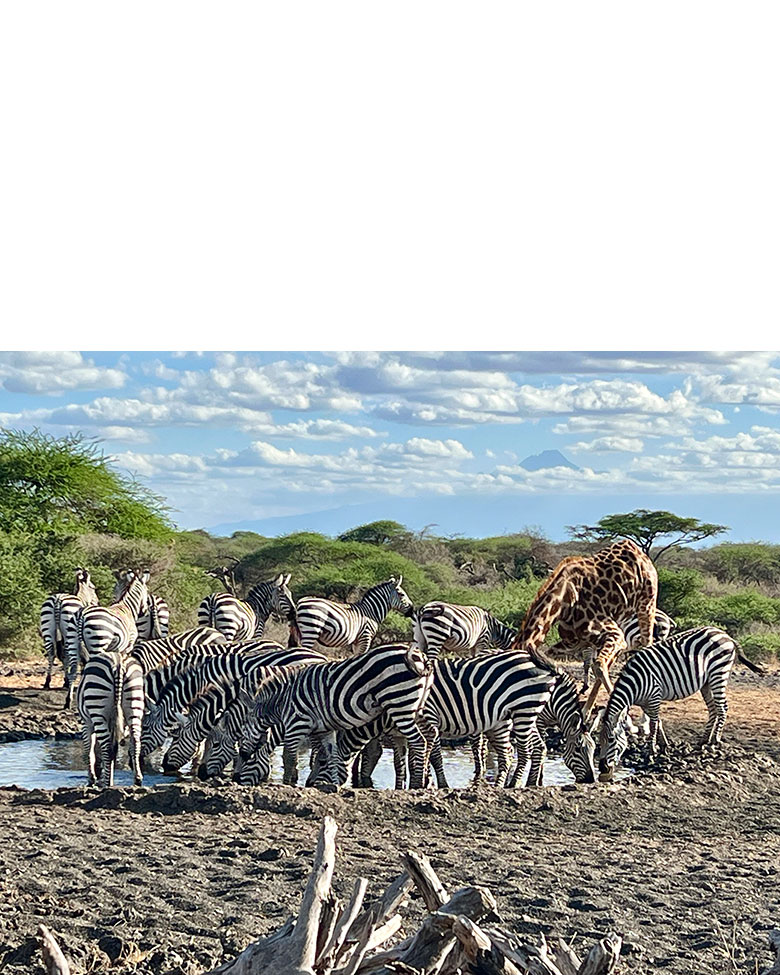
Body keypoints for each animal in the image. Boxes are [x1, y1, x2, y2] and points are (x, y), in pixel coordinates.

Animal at [64, 572, 151, 708]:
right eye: (147, 591)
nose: (146, 610)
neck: (128, 608)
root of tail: (82, 614)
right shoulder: (127, 647)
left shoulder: (115, 648)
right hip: (97, 642)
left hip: (72, 642)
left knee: (73, 670)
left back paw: (68, 701)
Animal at [76, 652, 145, 788]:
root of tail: (118, 663)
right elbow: (114, 748)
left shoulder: (87, 723)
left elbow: (89, 751)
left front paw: (92, 779)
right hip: (135, 703)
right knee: (135, 742)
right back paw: (137, 779)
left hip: (97, 707)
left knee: (107, 748)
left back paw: (106, 784)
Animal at [235, 644, 436, 788]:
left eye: (249, 763)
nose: (236, 781)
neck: (281, 701)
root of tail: (421, 658)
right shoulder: (325, 729)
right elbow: (333, 755)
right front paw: (332, 785)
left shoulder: (295, 725)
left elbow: (289, 758)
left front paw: (286, 785)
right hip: (415, 708)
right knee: (428, 737)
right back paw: (423, 781)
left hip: (399, 706)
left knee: (419, 741)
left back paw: (416, 786)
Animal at [512, 540, 660, 716]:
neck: (564, 600)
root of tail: (639, 551)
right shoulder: (574, 642)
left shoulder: (612, 633)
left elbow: (599, 665)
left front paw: (623, 716)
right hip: (621, 619)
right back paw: (587, 710)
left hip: (647, 604)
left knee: (646, 643)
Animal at [596, 628, 760, 780]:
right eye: (599, 740)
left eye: (611, 740)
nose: (602, 768)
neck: (635, 684)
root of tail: (726, 635)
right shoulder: (646, 703)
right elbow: (658, 722)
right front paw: (663, 746)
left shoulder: (655, 696)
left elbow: (653, 725)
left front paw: (651, 753)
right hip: (706, 682)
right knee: (713, 709)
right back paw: (703, 741)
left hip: (718, 673)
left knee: (722, 708)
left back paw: (714, 740)